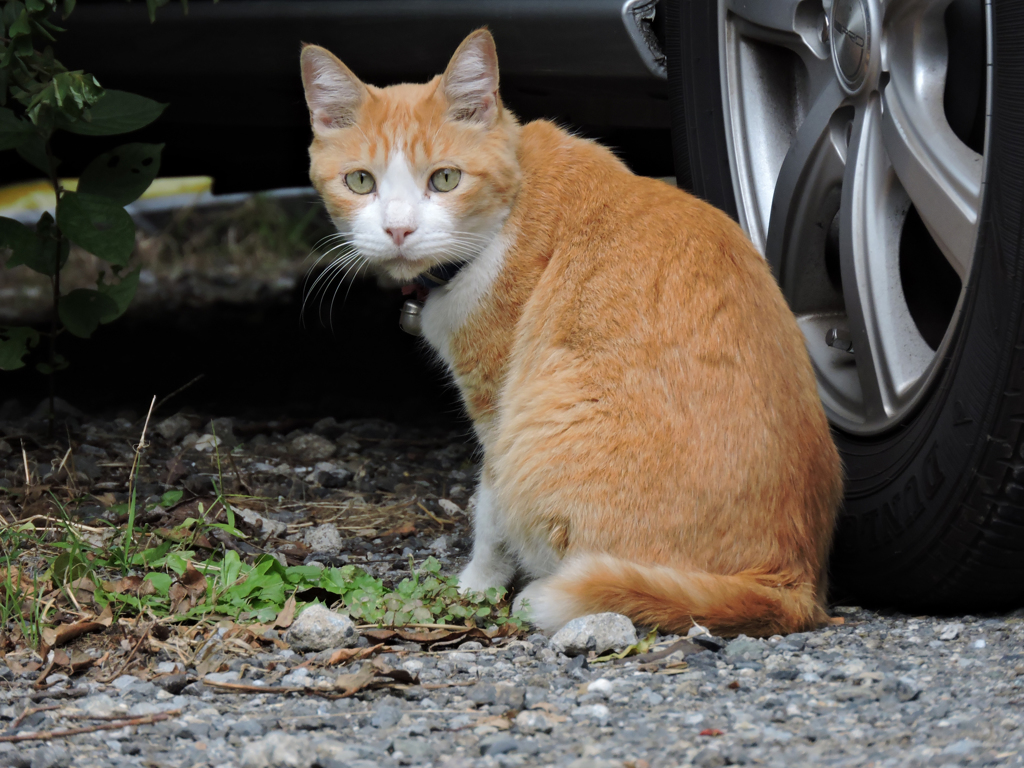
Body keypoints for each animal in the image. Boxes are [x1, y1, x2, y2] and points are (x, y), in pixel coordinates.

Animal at [299, 28, 843, 638]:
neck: (507, 214)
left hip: (541, 428)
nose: (398, 229)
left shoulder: (497, 404)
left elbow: (489, 505)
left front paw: (479, 580)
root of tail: (791, 583)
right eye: (360, 181)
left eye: (445, 178)